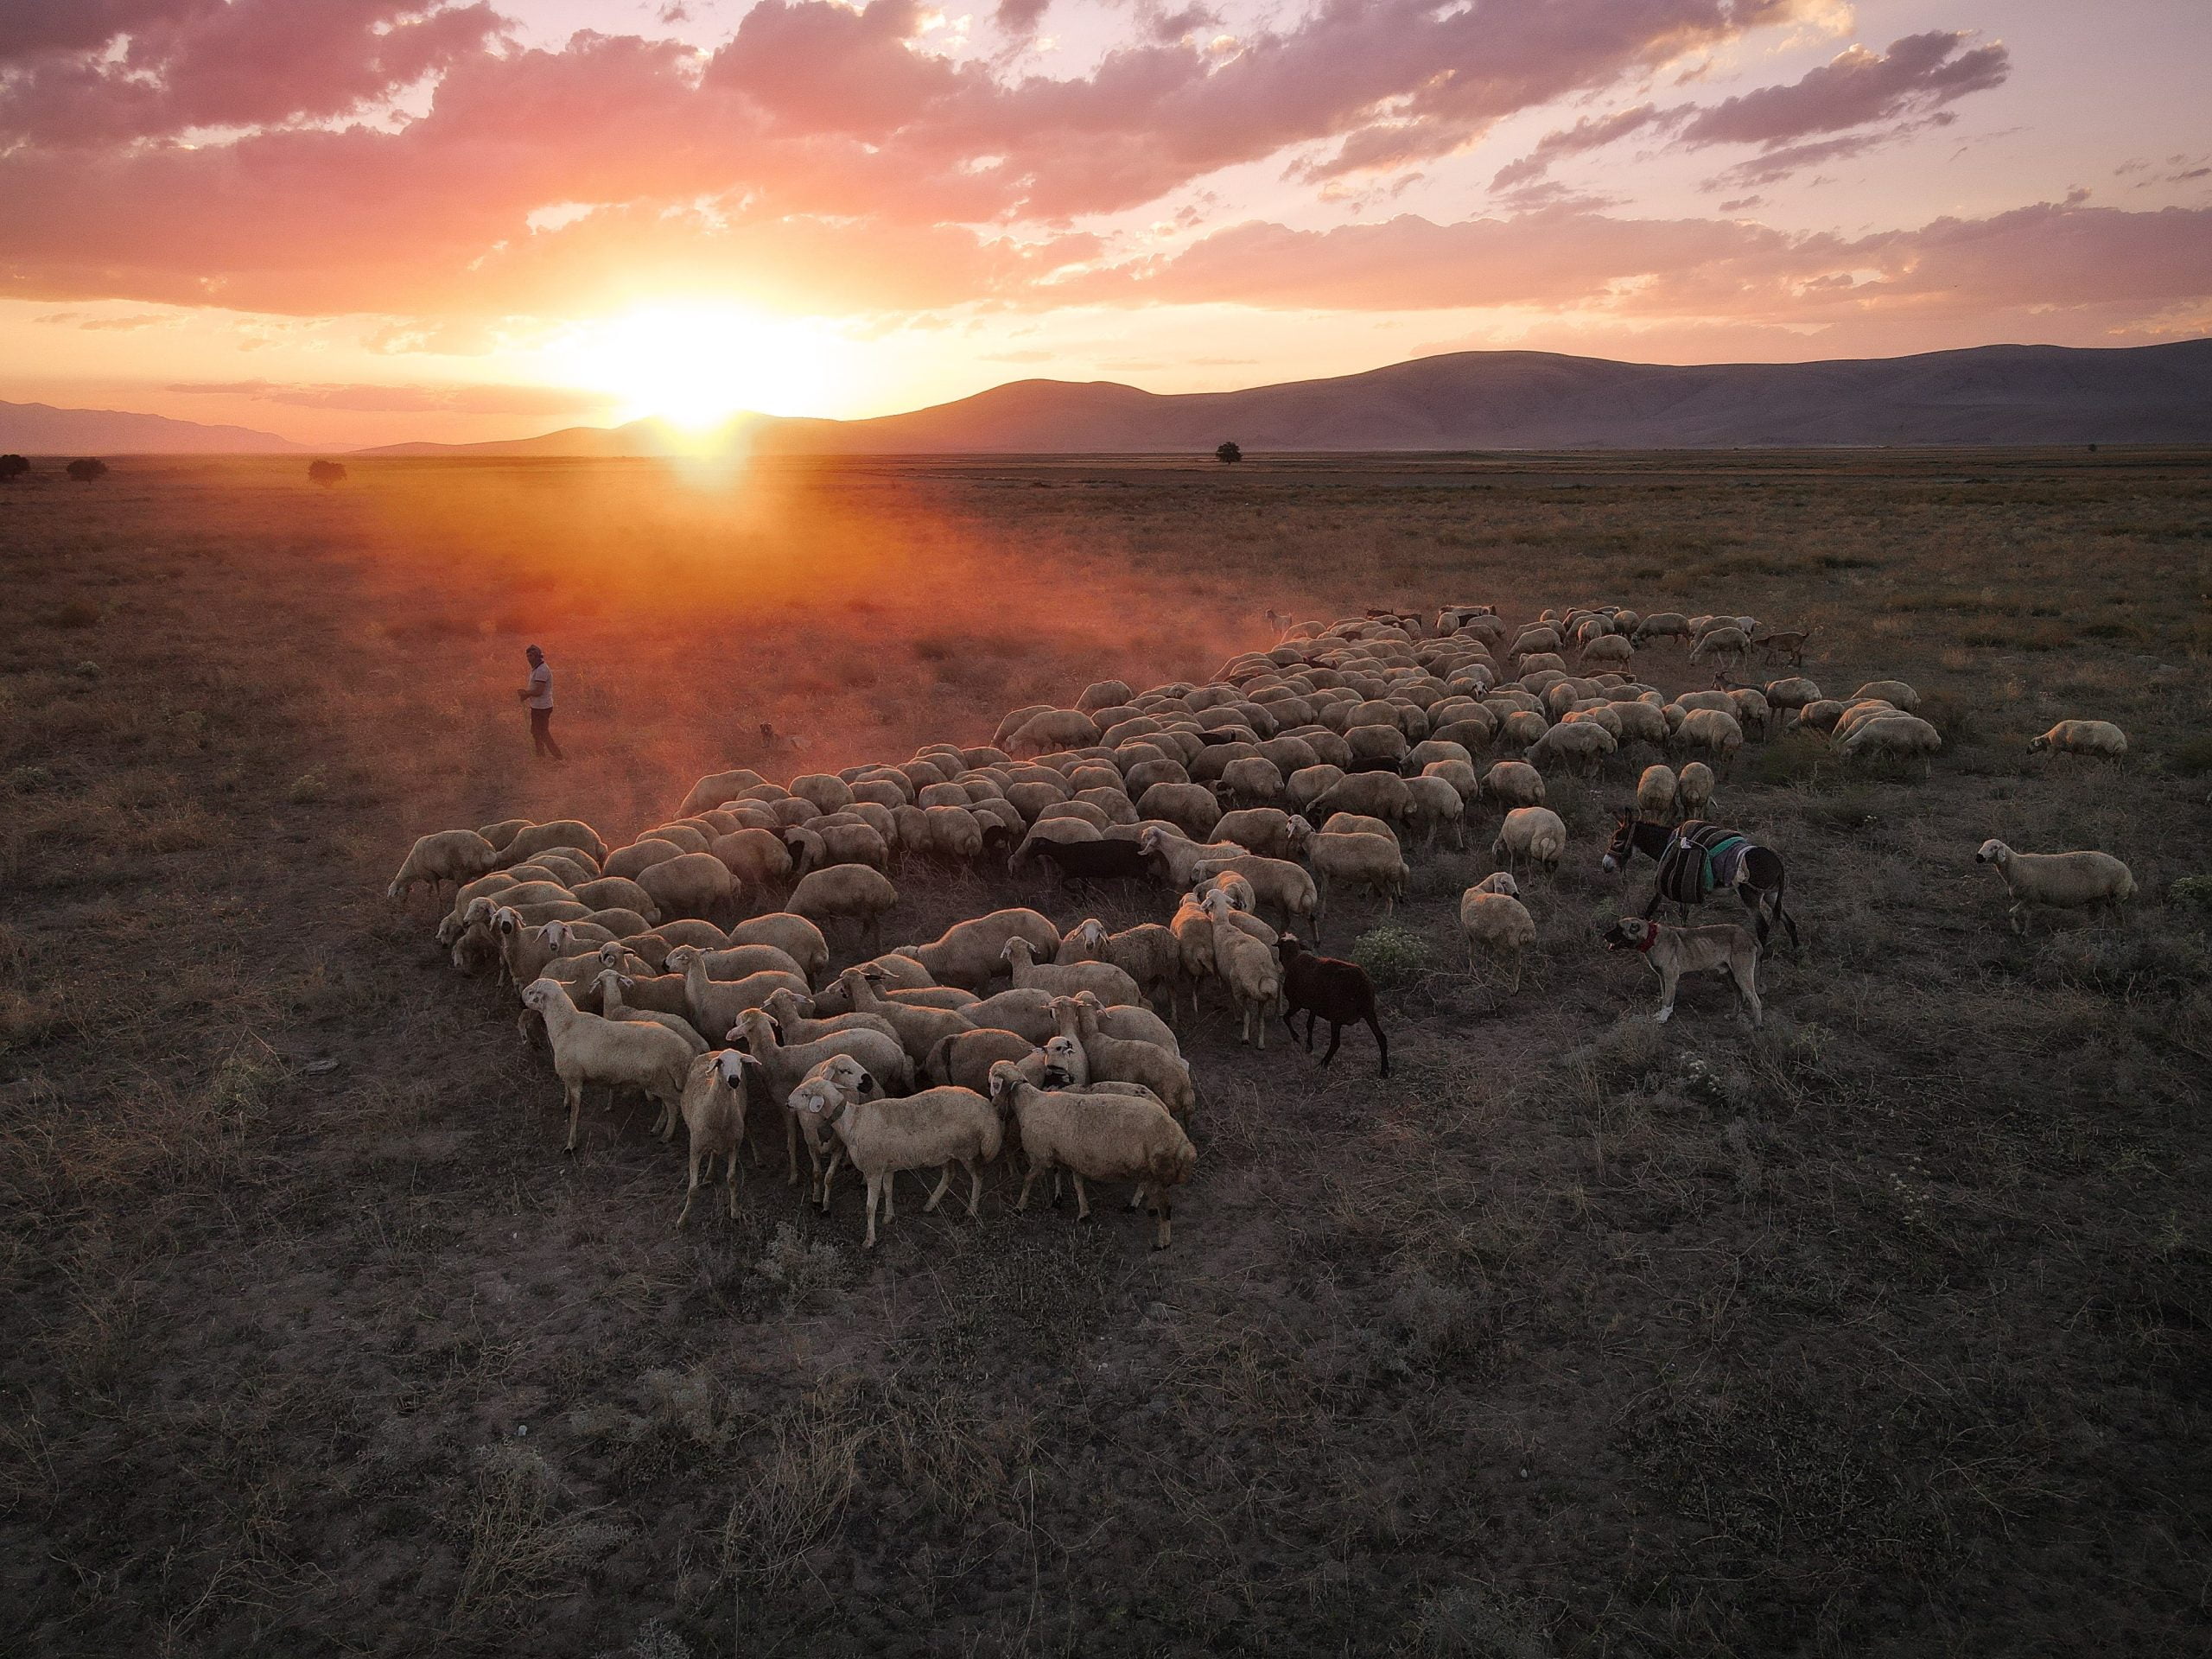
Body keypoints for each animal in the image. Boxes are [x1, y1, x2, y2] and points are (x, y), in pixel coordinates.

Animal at [518, 973, 690, 1159]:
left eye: (532, 991)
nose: (521, 996)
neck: (566, 1025)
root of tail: (682, 1050)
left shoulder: (574, 1079)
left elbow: (574, 1114)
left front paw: (571, 1144)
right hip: (660, 1082)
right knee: (668, 1105)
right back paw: (658, 1129)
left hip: (661, 1081)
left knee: (674, 1106)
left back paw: (667, 1136)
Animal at [986, 1071, 1194, 1256]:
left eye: (995, 1084)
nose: (994, 1106)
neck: (1029, 1102)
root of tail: (1180, 1139)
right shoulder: (1068, 1154)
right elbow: (1075, 1182)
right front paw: (1078, 1209)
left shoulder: (1041, 1155)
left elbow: (1029, 1179)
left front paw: (1020, 1207)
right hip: (1147, 1169)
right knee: (1150, 1191)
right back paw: (1141, 1207)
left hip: (1155, 1171)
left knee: (1166, 1207)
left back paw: (1162, 1242)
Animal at [1274, 938, 1389, 1079]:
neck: (1293, 960)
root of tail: (1361, 983)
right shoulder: (1314, 1007)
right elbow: (1309, 1024)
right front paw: (1309, 1046)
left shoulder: (1296, 1004)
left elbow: (1286, 1018)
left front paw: (1296, 1037)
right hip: (1369, 1012)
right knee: (1381, 1037)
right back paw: (1384, 1071)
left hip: (1337, 1016)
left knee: (1335, 1043)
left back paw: (1323, 1063)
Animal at [1601, 915, 1770, 1035]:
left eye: (1619, 928)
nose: (1603, 935)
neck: (1651, 936)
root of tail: (1749, 935)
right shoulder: (1662, 978)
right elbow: (1664, 997)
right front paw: (1661, 1014)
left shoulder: (1671, 977)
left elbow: (1667, 1001)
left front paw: (1663, 1018)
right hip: (1731, 976)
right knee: (1740, 997)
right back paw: (1734, 1016)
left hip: (1742, 975)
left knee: (1755, 1001)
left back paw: (1758, 1026)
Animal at [1981, 844, 2132, 938]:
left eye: (1994, 847)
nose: (1978, 857)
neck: (2017, 866)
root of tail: (2128, 873)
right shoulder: (2031, 898)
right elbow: (2028, 915)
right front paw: (2025, 932)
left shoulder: (2030, 897)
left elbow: (2012, 912)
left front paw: (2018, 930)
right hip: (2099, 900)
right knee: (2097, 916)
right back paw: (2094, 930)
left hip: (2114, 898)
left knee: (2119, 916)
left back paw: (2119, 930)